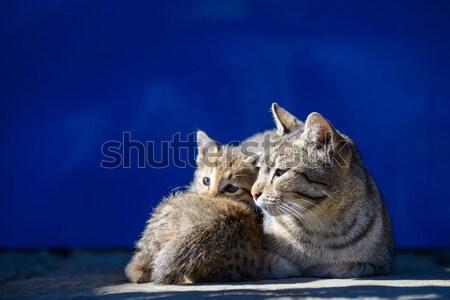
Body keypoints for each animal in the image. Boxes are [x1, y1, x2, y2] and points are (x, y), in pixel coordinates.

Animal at [251, 104, 392, 278]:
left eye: (280, 172)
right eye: (259, 169)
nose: (253, 193)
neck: (321, 227)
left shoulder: (379, 264)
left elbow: (344, 267)